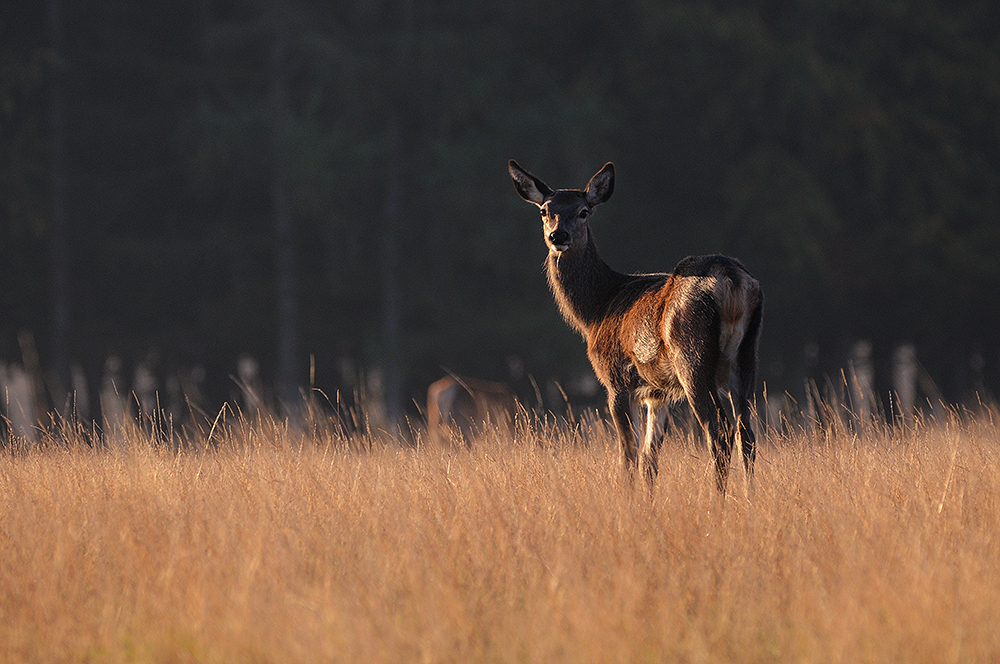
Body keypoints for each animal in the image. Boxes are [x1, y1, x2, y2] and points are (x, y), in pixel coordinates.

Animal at [508, 160, 762, 492]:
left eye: (583, 211)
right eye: (544, 210)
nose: (557, 235)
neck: (595, 310)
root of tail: (732, 279)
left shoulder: (615, 379)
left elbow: (628, 454)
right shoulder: (657, 393)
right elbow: (649, 460)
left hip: (691, 356)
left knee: (718, 432)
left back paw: (716, 499)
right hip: (746, 355)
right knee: (747, 433)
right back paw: (748, 496)